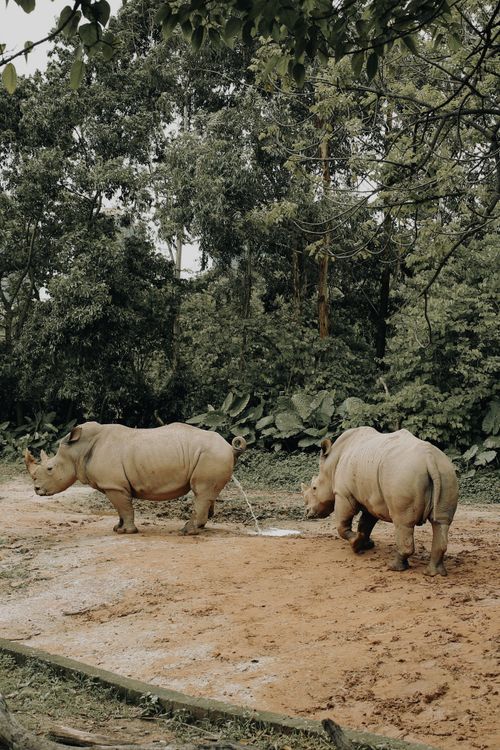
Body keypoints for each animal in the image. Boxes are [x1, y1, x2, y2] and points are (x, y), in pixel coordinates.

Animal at [25, 421, 246, 535]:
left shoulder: (114, 486)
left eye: (50, 469)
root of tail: (229, 447)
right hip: (211, 455)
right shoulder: (115, 485)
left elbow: (124, 508)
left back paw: (186, 531)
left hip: (212, 454)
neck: (77, 451)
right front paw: (117, 528)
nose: (36, 490)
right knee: (206, 494)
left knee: (201, 492)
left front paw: (128, 532)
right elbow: (120, 511)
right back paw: (197, 527)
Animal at [302, 427, 458, 576]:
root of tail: (429, 458)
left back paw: (394, 567)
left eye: (314, 488)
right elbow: (365, 523)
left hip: (403, 474)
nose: (307, 512)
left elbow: (342, 524)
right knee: (441, 522)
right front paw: (365, 544)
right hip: (446, 471)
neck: (332, 464)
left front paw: (355, 544)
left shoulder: (343, 494)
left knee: (403, 522)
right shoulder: (370, 499)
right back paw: (434, 573)